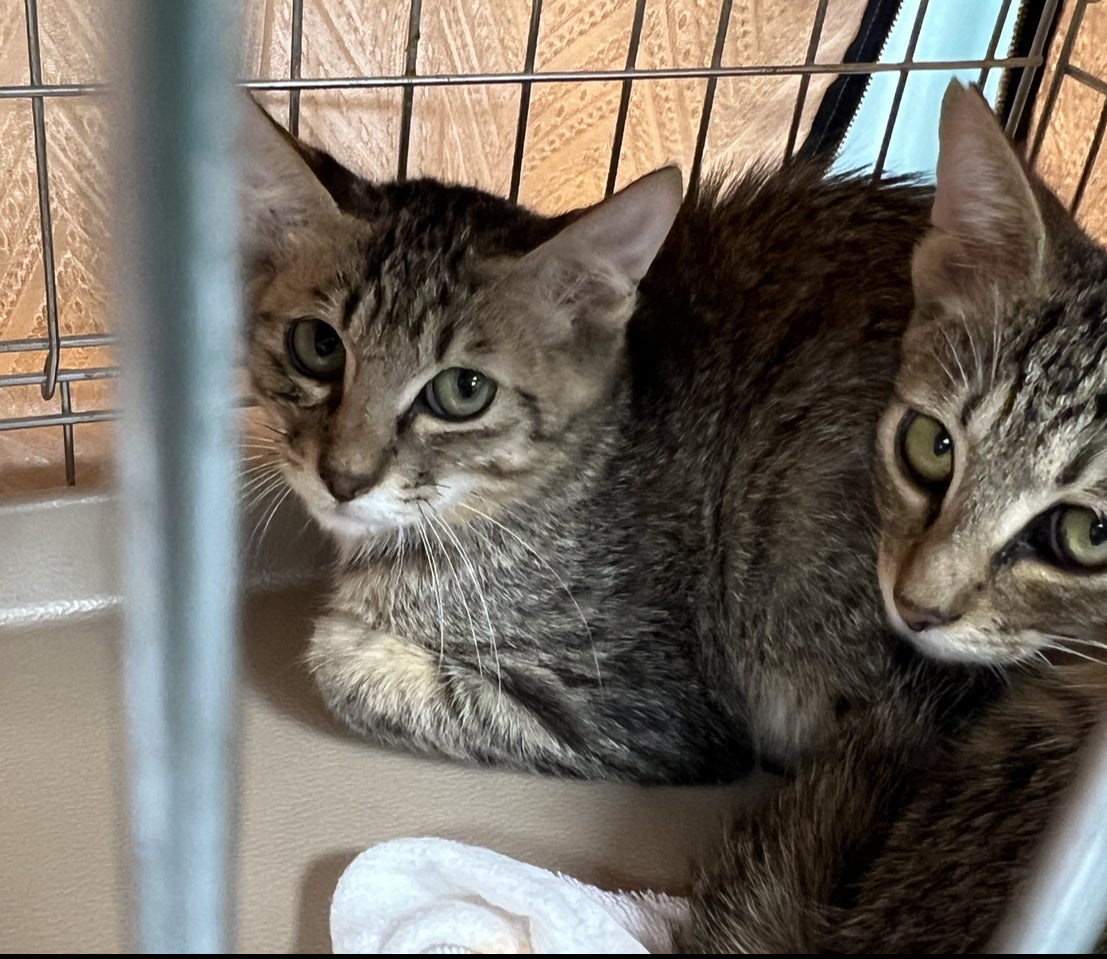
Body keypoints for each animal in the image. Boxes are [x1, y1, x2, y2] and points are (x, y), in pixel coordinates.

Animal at [238, 95, 993, 784]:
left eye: (462, 391)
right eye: (317, 346)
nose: (343, 477)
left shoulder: (641, 705)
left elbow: (341, 662)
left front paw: (346, 636)